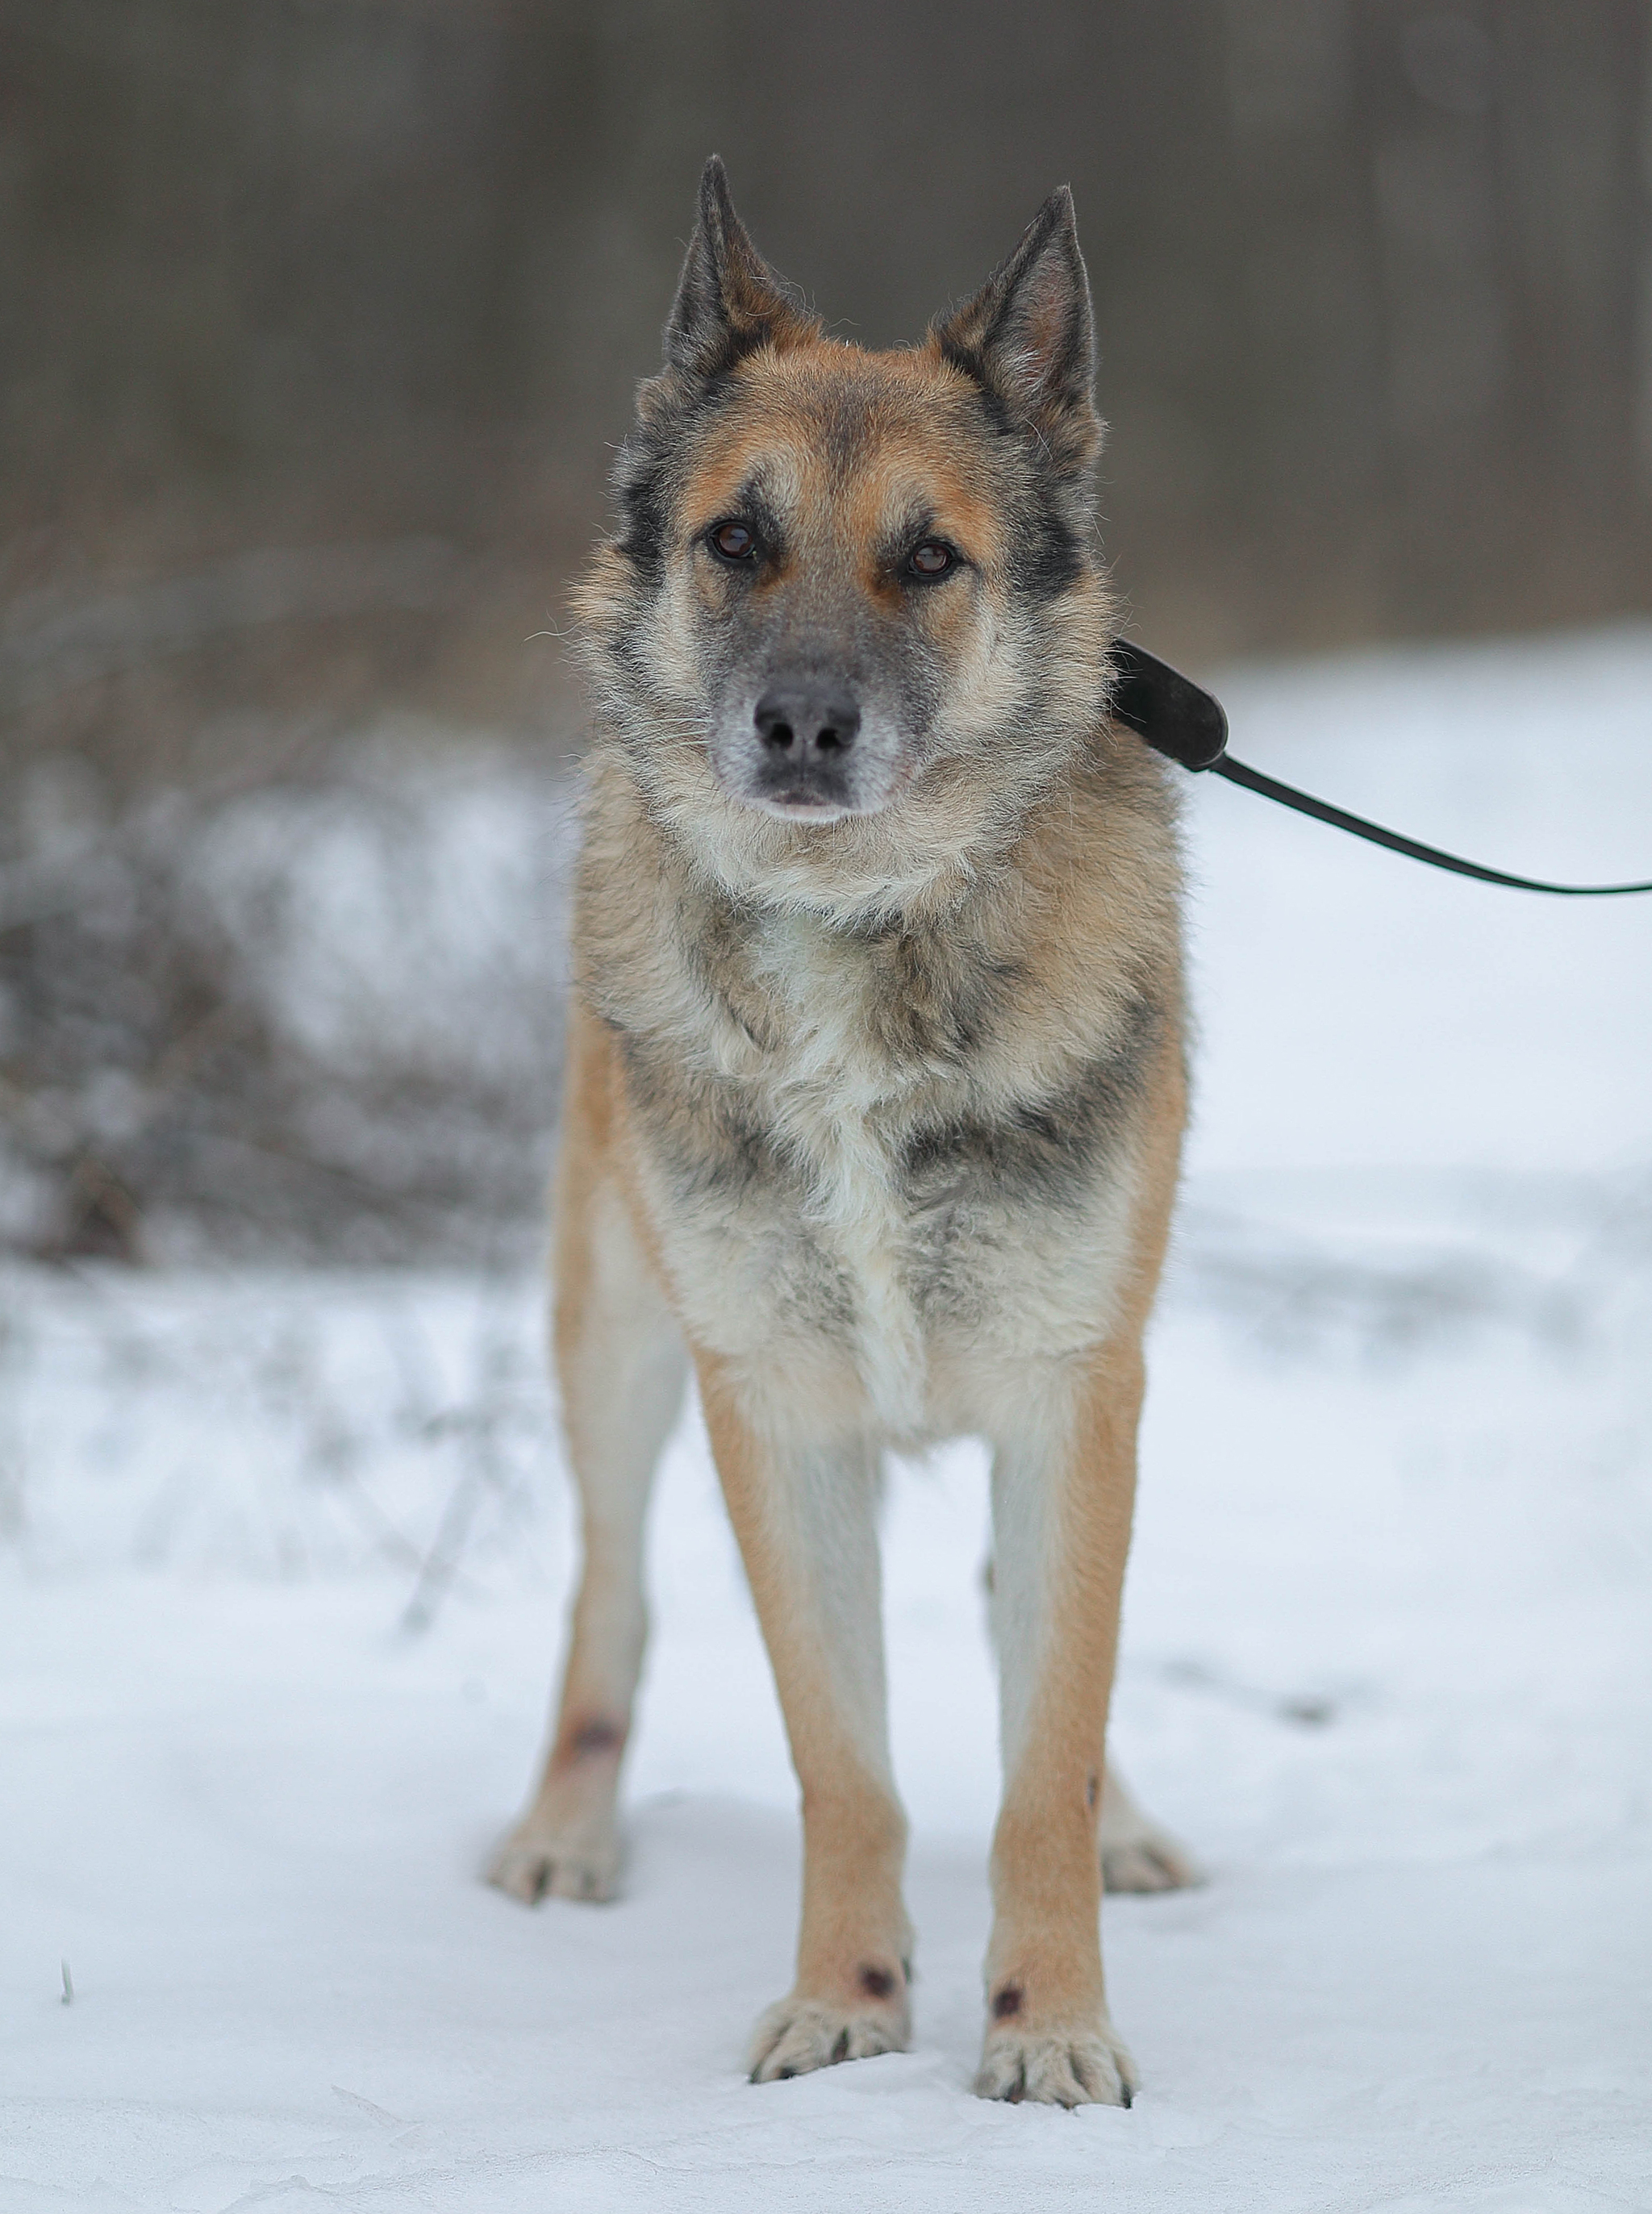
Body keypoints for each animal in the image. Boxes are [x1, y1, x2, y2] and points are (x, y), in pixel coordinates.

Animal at [489, 161, 1195, 2108]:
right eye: (737, 541)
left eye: (928, 558)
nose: (798, 725)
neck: (856, 934)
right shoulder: (774, 1408)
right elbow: (843, 1761)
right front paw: (850, 2002)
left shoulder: (1071, 1387)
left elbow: (1042, 1752)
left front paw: (1050, 2025)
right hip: (615, 1335)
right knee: (605, 1601)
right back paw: (564, 1828)